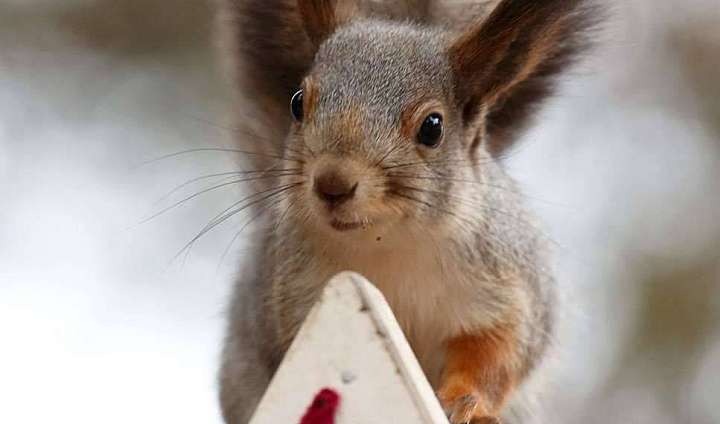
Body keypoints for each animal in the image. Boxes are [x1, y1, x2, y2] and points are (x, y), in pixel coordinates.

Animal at [216, 0, 597, 422]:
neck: (389, 245)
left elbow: (497, 352)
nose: (332, 183)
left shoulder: (508, 288)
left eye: (432, 127)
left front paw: (465, 402)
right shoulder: (293, 295)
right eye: (298, 103)